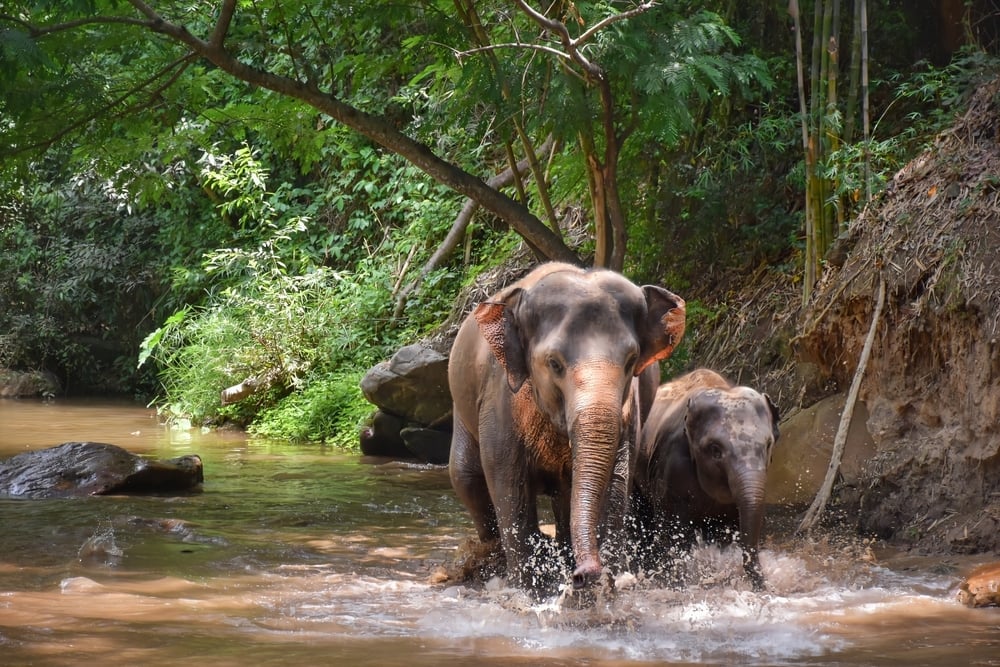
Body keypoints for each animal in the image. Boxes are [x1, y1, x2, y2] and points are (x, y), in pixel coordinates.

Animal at [448, 262, 686, 592]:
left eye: (631, 361)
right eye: (554, 363)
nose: (584, 574)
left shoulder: (630, 412)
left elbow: (616, 481)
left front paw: (607, 583)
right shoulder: (500, 399)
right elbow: (507, 482)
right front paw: (527, 590)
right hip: (463, 406)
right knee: (466, 477)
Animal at [631, 369, 780, 591]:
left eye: (768, 444)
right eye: (715, 449)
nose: (764, 588)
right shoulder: (671, 469)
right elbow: (672, 533)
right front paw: (678, 584)